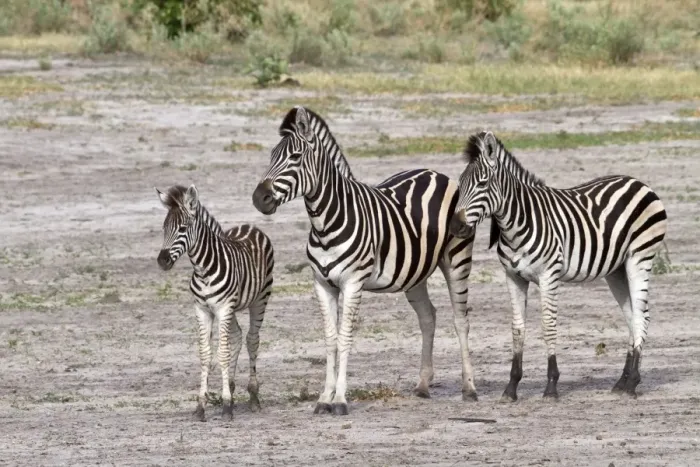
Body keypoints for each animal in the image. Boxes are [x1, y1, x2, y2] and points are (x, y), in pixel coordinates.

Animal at [155, 184, 274, 421]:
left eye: (182, 228)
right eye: (164, 228)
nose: (162, 261)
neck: (203, 269)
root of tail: (249, 225)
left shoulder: (223, 308)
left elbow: (223, 354)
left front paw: (227, 405)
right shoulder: (202, 310)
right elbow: (206, 354)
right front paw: (202, 404)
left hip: (260, 298)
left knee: (252, 339)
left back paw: (253, 397)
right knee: (237, 336)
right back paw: (231, 388)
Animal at [252, 106, 476, 415]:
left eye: (294, 157)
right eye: (272, 156)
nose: (259, 198)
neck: (326, 222)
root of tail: (435, 173)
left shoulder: (353, 282)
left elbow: (345, 337)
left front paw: (340, 400)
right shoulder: (322, 284)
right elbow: (330, 339)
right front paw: (324, 398)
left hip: (457, 259)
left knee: (461, 320)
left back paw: (469, 388)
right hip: (413, 273)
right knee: (428, 317)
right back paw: (422, 384)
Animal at [449, 131, 667, 400]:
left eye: (482, 184)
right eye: (460, 185)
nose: (456, 227)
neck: (518, 223)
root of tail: (638, 182)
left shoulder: (548, 275)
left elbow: (548, 325)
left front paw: (551, 384)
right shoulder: (513, 277)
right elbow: (517, 329)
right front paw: (511, 387)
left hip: (640, 257)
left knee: (640, 316)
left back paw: (633, 382)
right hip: (616, 269)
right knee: (632, 314)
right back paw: (623, 380)